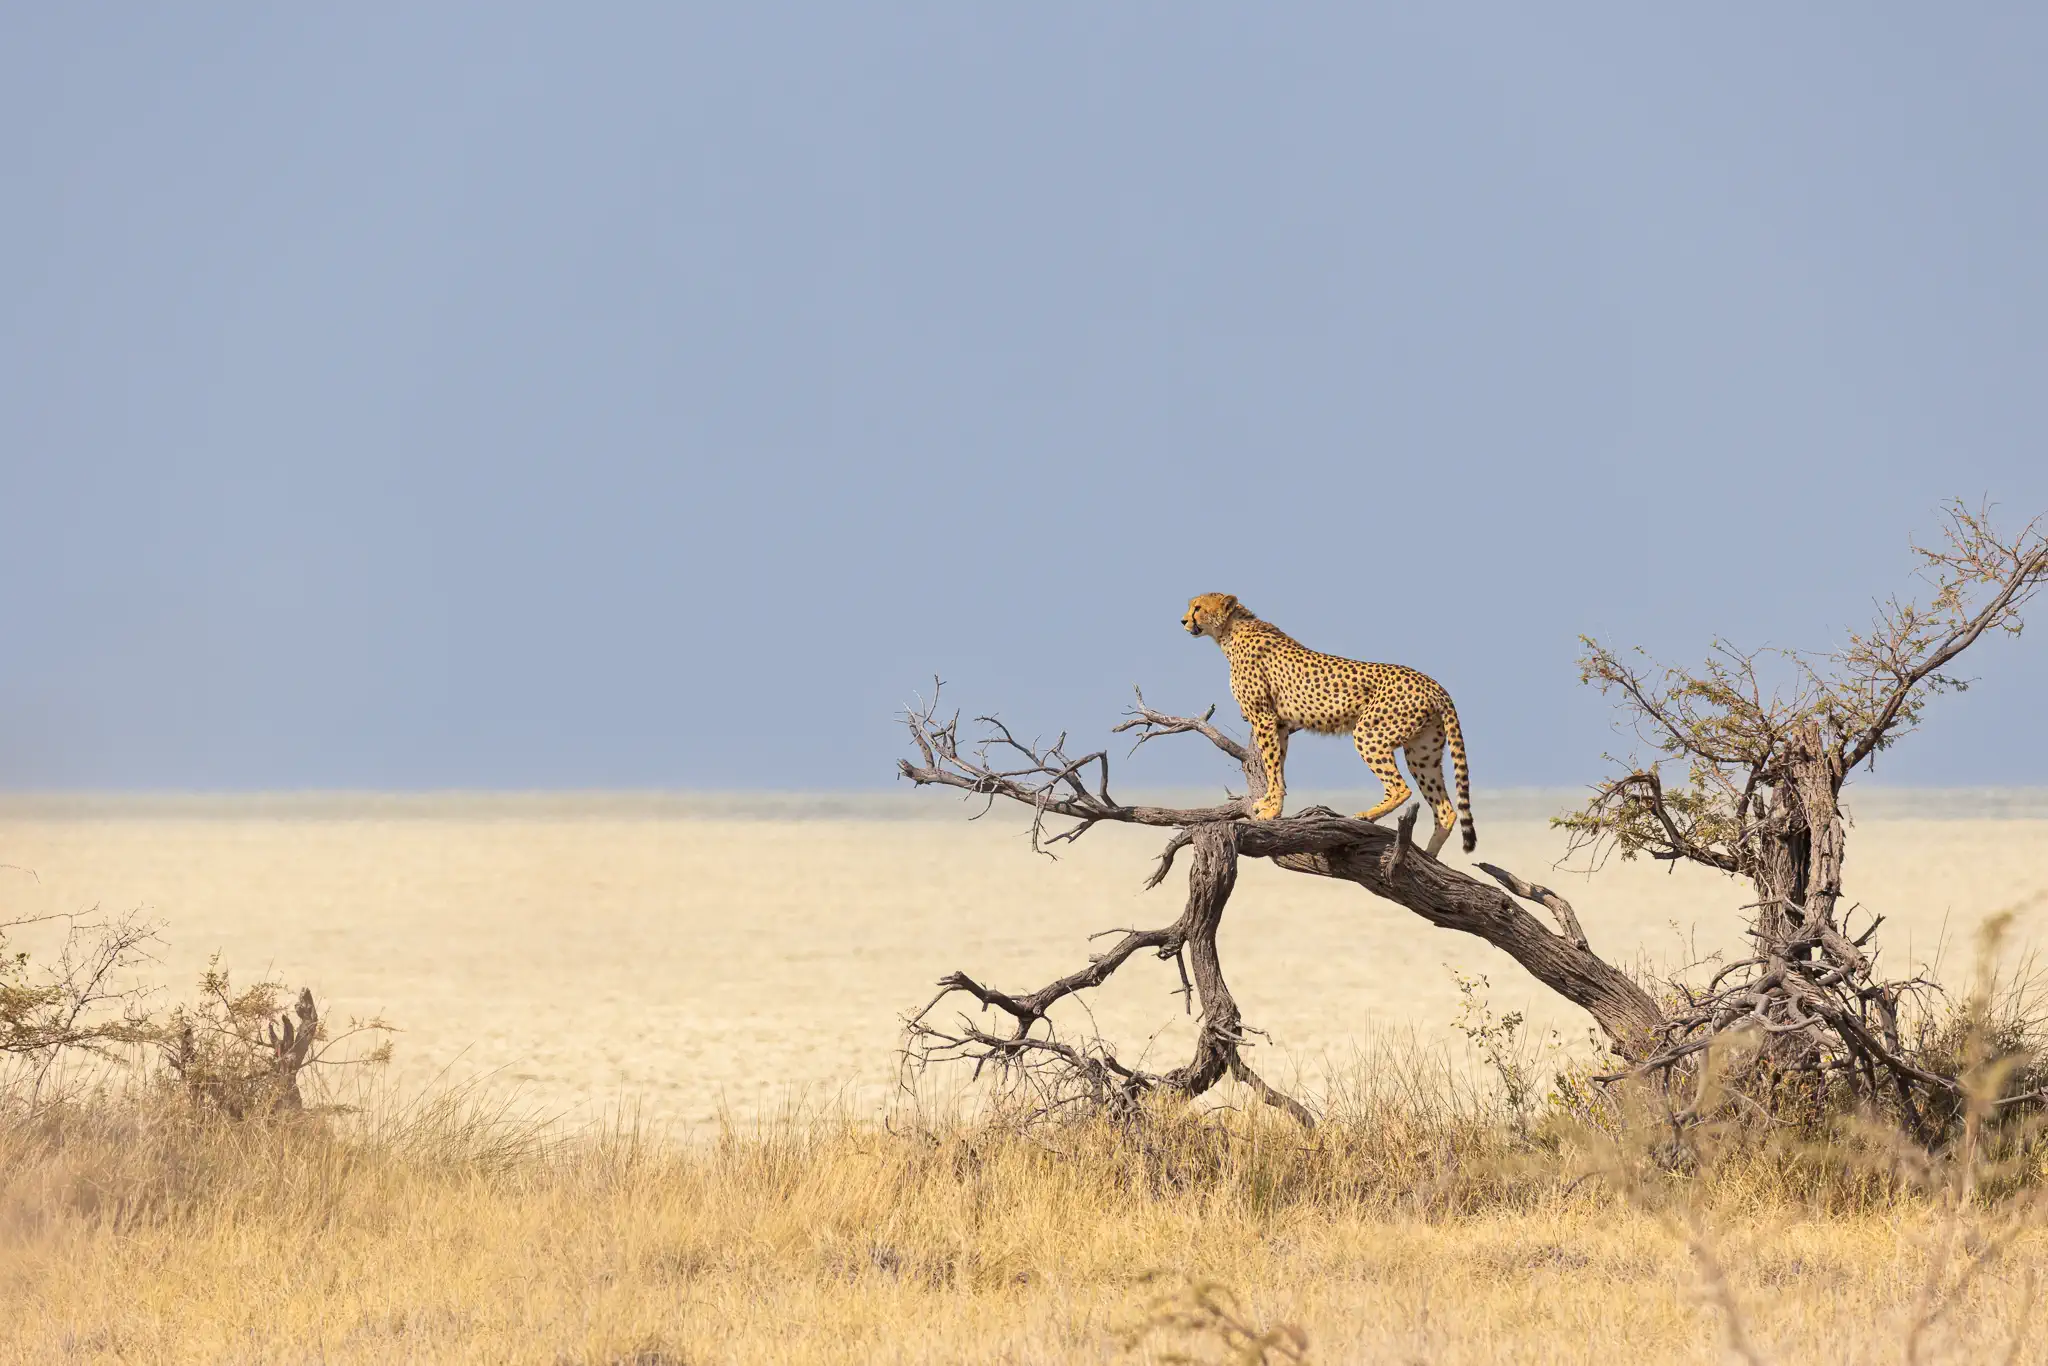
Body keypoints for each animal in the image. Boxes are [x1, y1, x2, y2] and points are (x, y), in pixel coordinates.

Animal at [1181, 593, 1476, 856]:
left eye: (1197, 607)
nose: (1183, 620)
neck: (1229, 632)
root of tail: (1433, 684)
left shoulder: (1264, 718)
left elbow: (1272, 765)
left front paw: (1271, 811)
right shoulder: (1281, 724)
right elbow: (1278, 766)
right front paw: (1270, 802)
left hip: (1369, 733)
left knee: (1401, 788)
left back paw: (1367, 816)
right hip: (1422, 752)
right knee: (1446, 810)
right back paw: (1428, 855)